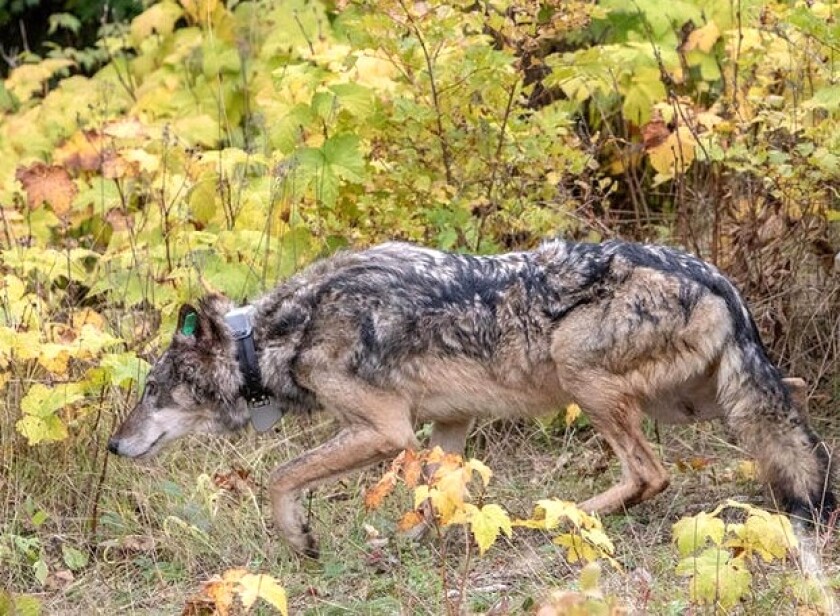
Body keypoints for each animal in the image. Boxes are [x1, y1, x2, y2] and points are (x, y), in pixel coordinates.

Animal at [108, 239, 836, 557]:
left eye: (154, 391)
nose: (114, 446)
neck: (275, 336)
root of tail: (718, 279)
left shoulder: (388, 430)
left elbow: (280, 477)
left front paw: (299, 538)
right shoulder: (447, 425)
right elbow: (434, 492)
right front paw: (412, 538)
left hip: (587, 378)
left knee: (649, 474)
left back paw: (562, 517)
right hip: (702, 401)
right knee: (792, 413)